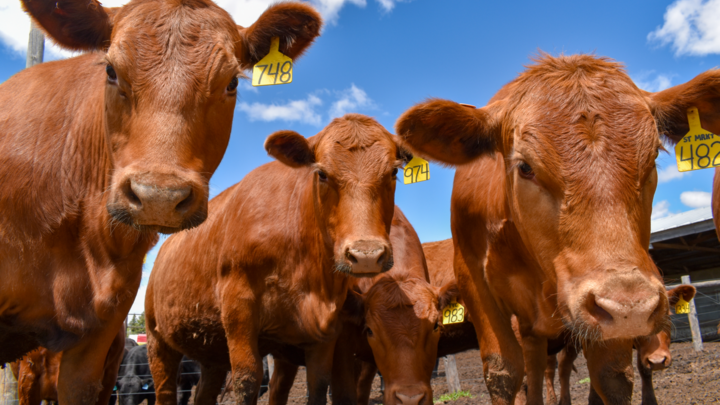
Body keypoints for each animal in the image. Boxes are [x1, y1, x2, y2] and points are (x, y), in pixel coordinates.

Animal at [145, 114, 410, 404]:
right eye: (322, 174)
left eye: (394, 172)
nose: (366, 255)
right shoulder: (238, 305)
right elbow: (247, 380)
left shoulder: (327, 326)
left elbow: (319, 383)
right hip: (157, 340)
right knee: (165, 389)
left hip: (211, 352)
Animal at [394, 53, 720, 404]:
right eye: (524, 166)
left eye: (654, 157)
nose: (630, 307)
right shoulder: (473, 283)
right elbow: (503, 373)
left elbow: (613, 378)